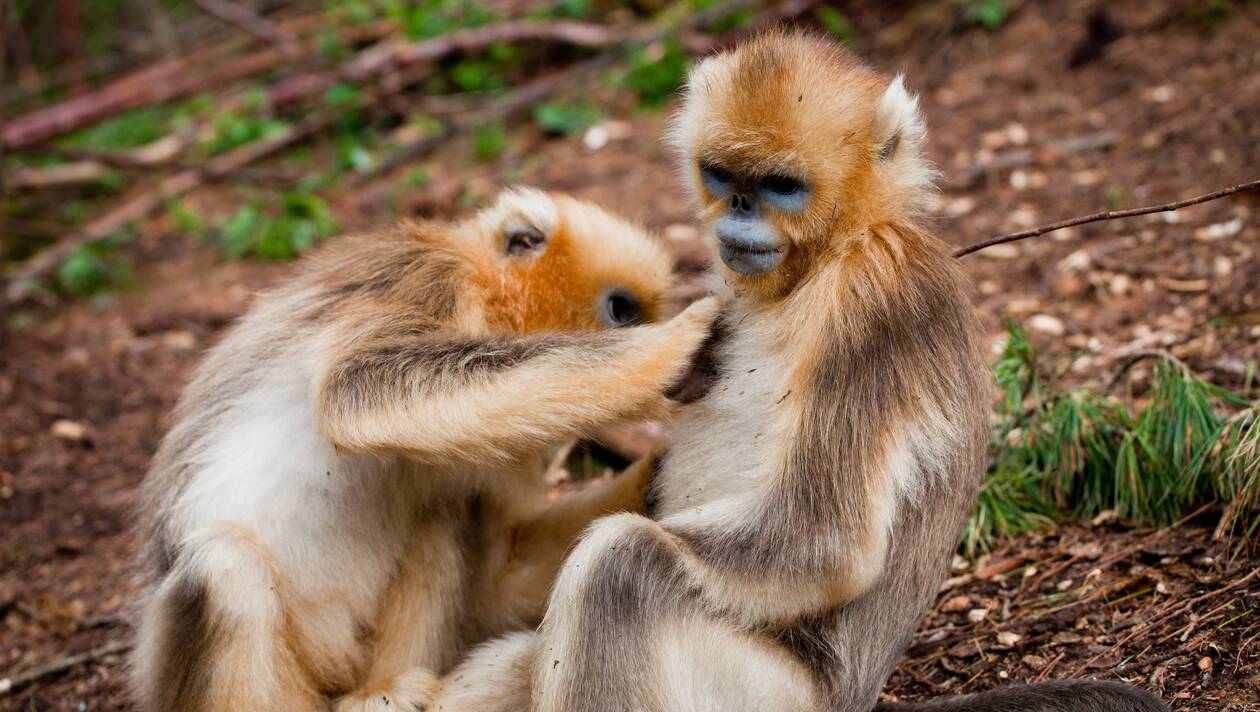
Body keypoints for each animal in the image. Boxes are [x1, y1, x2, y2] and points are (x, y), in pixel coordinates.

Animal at [130, 189, 720, 710]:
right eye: (622, 309)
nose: (646, 326)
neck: (483, 292)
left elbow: (498, 581)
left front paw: (658, 474)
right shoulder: (430, 277)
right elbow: (355, 392)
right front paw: (676, 345)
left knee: (443, 510)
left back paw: (382, 690)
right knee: (221, 567)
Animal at [428, 34, 1164, 710]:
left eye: (780, 186)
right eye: (722, 175)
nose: (739, 211)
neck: (820, 262)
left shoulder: (874, 296)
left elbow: (825, 540)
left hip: (775, 694)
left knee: (621, 565)